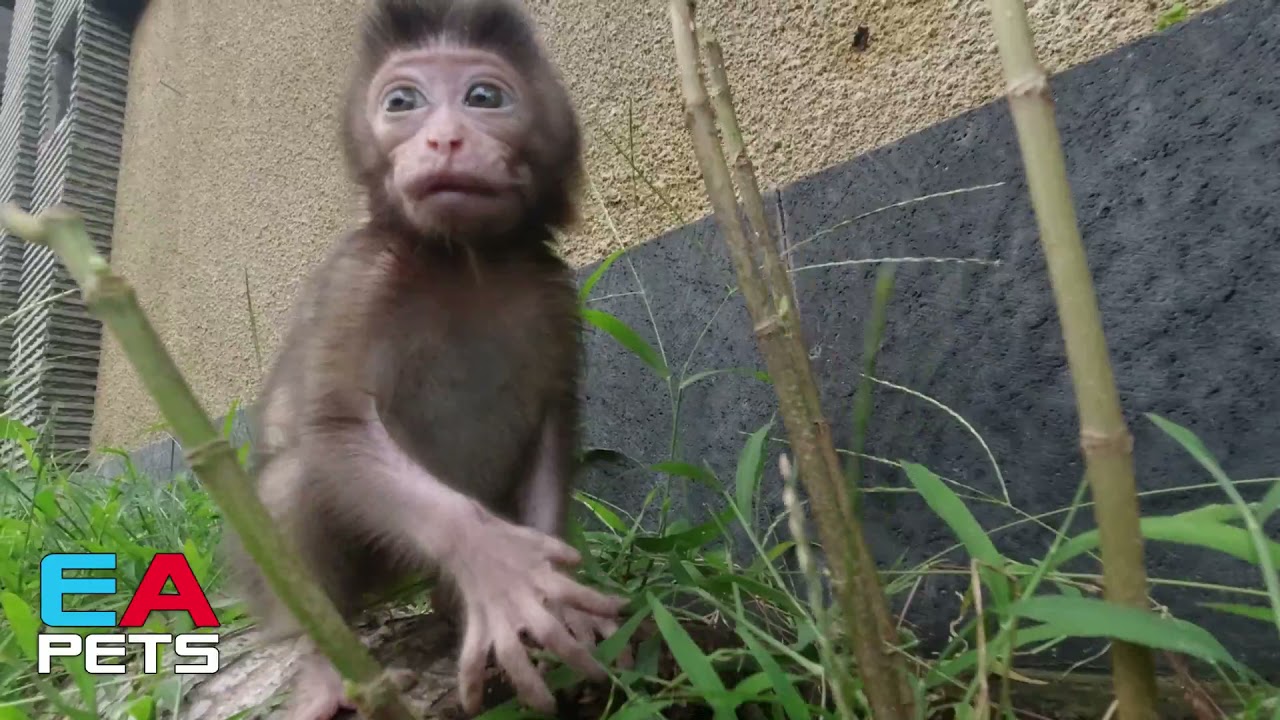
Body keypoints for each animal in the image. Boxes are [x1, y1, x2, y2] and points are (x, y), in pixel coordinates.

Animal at [223, 1, 628, 717]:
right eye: (402, 103)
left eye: (484, 98)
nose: (444, 140)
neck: (464, 260)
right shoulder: (362, 275)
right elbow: (338, 427)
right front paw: (495, 564)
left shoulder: (552, 286)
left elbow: (551, 422)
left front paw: (560, 600)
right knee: (292, 480)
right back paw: (323, 658)